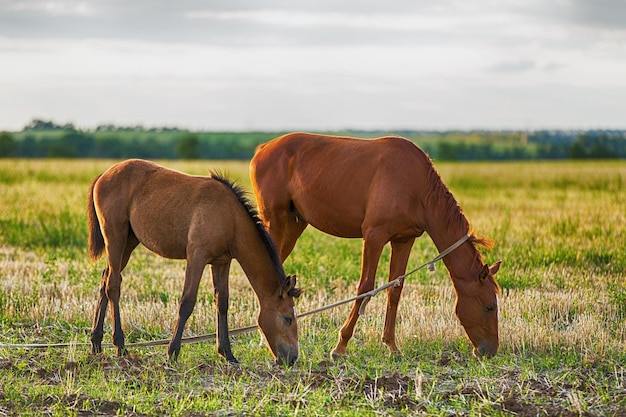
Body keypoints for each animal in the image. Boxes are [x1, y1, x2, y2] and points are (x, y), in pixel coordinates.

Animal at [87, 159, 300, 364]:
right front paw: (172, 353)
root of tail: (103, 176)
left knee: (105, 279)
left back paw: (96, 343)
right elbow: (187, 302)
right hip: (116, 238)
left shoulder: (221, 262)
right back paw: (120, 345)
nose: (292, 358)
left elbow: (222, 302)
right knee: (113, 284)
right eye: (288, 318)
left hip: (129, 242)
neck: (230, 217)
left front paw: (227, 354)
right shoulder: (197, 256)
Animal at [251, 133, 500, 358]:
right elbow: (365, 288)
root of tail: (262, 149)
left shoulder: (403, 240)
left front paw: (392, 346)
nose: (489, 351)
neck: (416, 186)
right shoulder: (374, 237)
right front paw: (340, 346)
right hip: (274, 220)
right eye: (489, 306)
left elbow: (395, 289)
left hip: (295, 224)